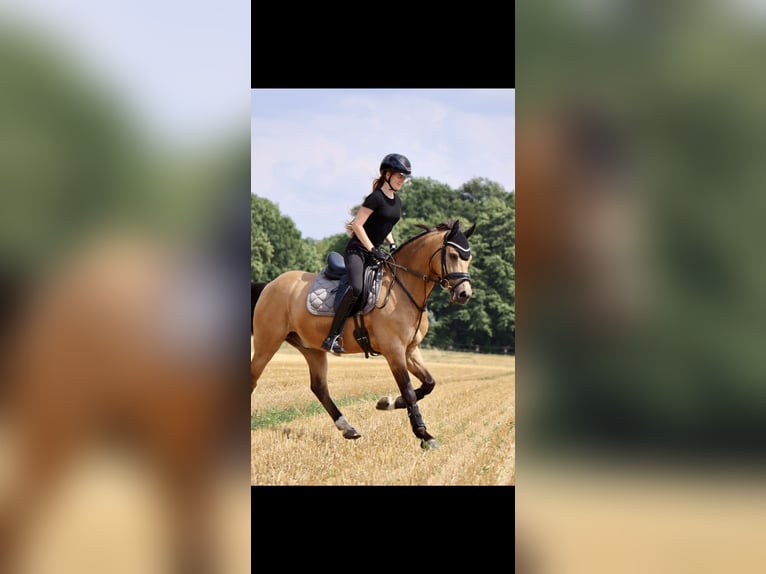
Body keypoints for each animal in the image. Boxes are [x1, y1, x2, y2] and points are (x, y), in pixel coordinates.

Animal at [251, 219, 475, 449]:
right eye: (453, 255)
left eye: (469, 258)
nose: (464, 294)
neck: (401, 289)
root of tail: (270, 285)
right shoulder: (394, 351)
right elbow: (408, 391)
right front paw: (424, 435)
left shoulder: (410, 350)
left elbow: (429, 383)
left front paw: (387, 403)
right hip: (267, 343)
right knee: (253, 378)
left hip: (311, 348)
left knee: (319, 387)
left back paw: (347, 428)